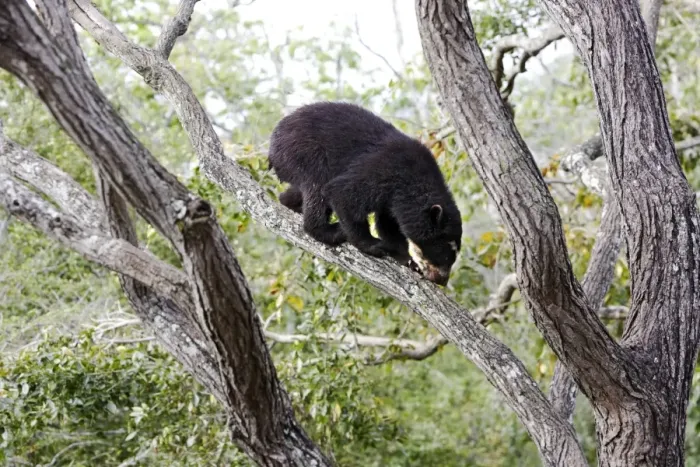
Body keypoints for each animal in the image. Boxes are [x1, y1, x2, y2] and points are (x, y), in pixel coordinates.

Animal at [267, 101, 462, 285]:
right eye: (447, 250)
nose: (442, 280)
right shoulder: (385, 170)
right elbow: (342, 193)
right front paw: (374, 245)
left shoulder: (394, 199)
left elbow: (388, 224)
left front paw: (407, 260)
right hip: (303, 153)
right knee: (317, 187)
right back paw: (330, 230)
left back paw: (288, 202)